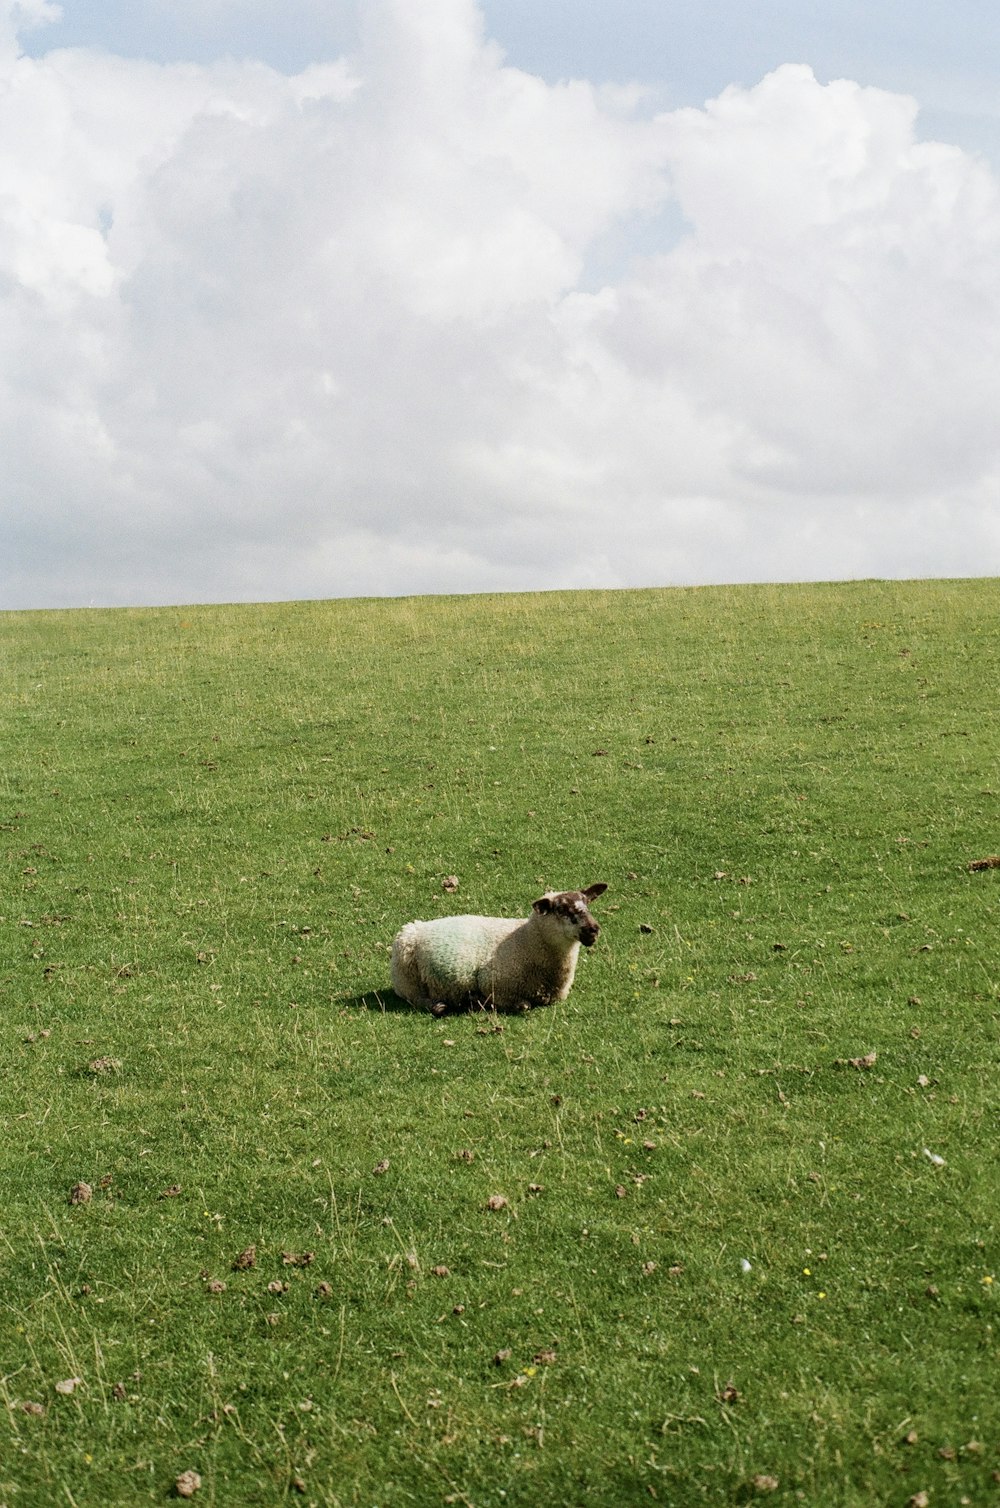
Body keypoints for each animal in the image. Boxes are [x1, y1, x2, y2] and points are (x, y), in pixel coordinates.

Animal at [392, 880, 609, 1013]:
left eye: (587, 904)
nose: (593, 929)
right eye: (562, 909)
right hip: (407, 977)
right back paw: (441, 1006)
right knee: (416, 998)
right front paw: (484, 1002)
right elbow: (523, 1005)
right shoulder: (492, 982)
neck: (527, 940)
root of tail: (418, 925)